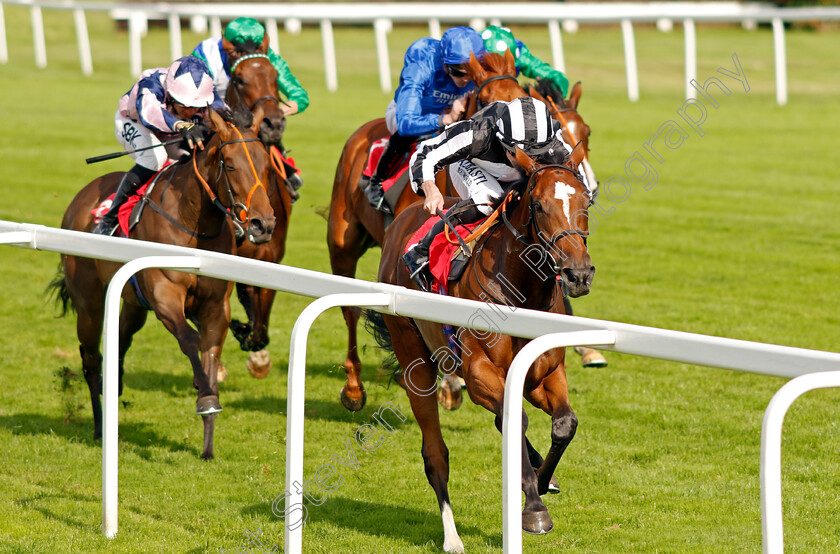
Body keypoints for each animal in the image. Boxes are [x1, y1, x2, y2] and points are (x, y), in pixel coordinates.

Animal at [50, 106, 274, 458]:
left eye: (266, 166)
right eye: (231, 164)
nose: (263, 225)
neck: (194, 222)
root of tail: (82, 197)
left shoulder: (215, 306)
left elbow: (211, 352)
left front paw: (208, 437)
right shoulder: (165, 297)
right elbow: (191, 340)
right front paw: (205, 395)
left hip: (132, 303)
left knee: (120, 340)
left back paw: (114, 387)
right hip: (88, 304)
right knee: (90, 359)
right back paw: (99, 427)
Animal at [326, 49, 524, 410]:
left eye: (519, 94)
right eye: (485, 97)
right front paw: (449, 384)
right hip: (342, 242)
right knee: (349, 310)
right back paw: (353, 387)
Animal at [370, 142, 592, 548]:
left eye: (587, 199)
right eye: (539, 206)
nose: (579, 274)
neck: (522, 293)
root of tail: (402, 219)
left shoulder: (543, 374)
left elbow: (564, 423)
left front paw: (540, 480)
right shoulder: (478, 374)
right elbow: (515, 419)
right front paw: (533, 508)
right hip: (413, 357)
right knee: (435, 454)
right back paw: (452, 539)